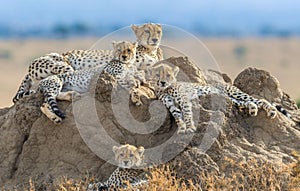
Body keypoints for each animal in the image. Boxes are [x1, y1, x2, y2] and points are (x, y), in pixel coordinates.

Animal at [151, 63, 282, 134]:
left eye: (168, 75)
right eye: (157, 74)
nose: (162, 82)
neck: (165, 89)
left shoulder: (184, 100)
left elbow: (187, 114)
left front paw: (190, 128)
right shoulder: (171, 104)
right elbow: (177, 116)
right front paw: (182, 129)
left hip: (234, 93)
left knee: (260, 100)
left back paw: (271, 111)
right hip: (230, 99)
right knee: (248, 102)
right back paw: (253, 109)